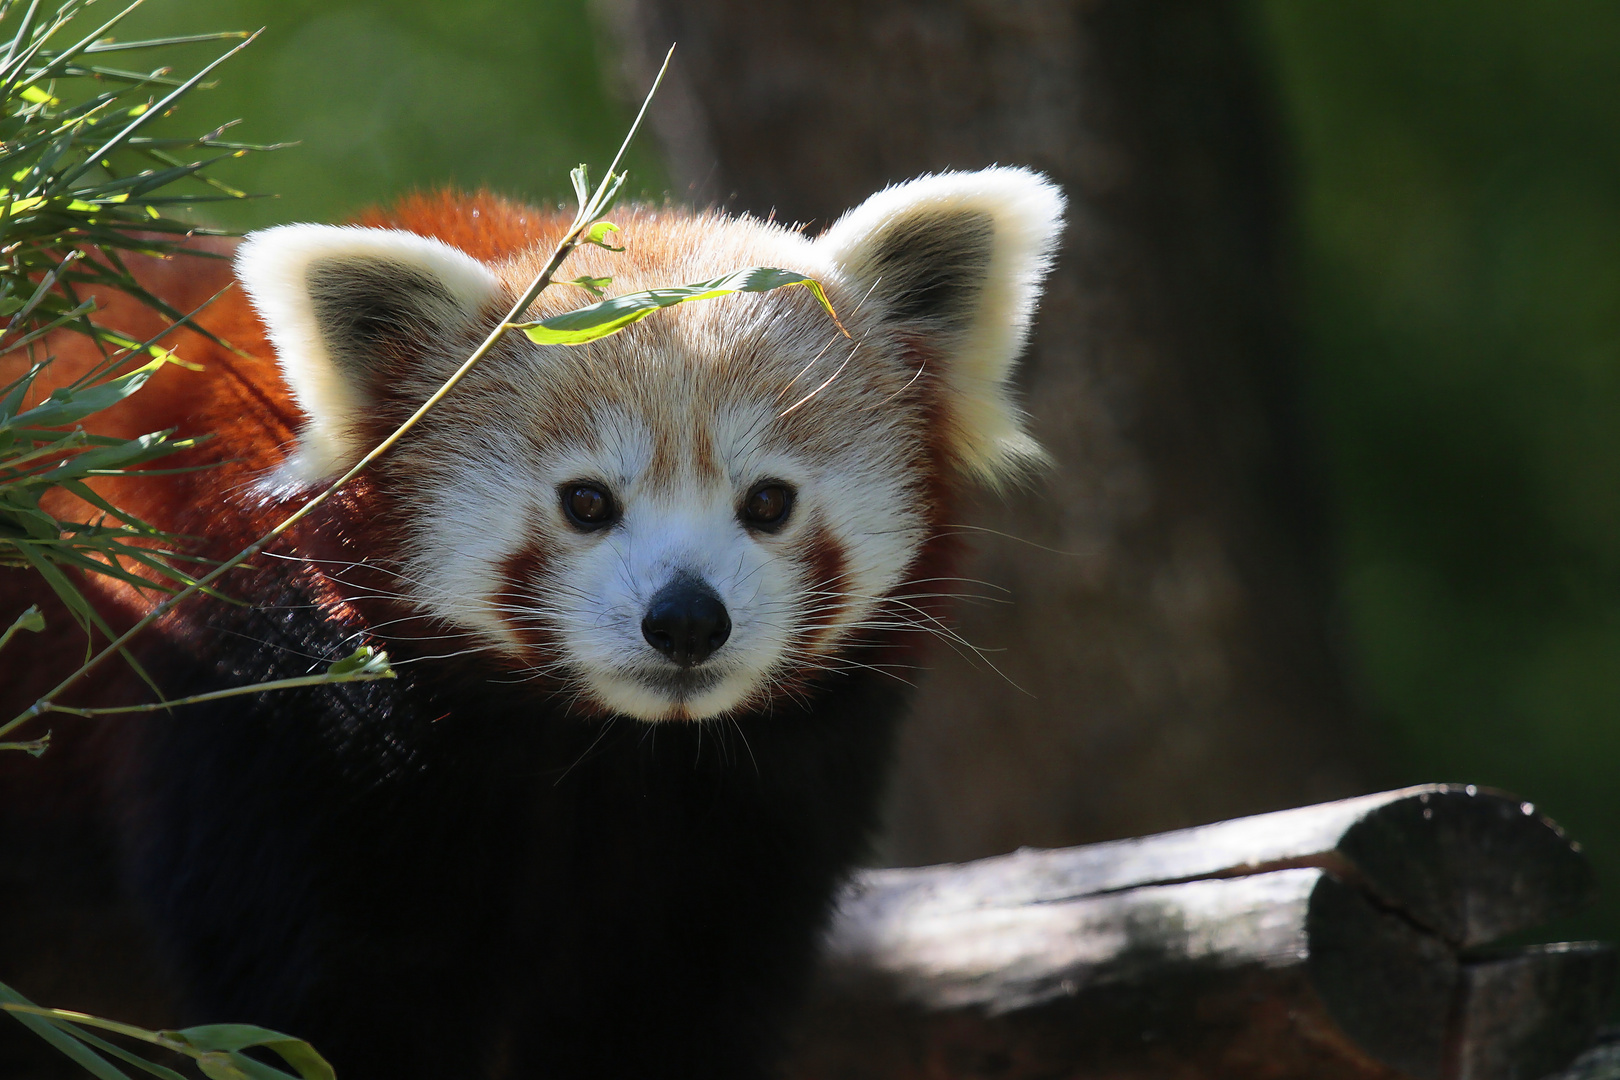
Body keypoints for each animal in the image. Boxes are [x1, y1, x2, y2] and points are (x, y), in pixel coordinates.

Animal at [0, 169, 1062, 1080]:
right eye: (586, 502)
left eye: (769, 503)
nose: (686, 620)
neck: (596, 750)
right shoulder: (258, 707)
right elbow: (323, 1000)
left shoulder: (750, 811)